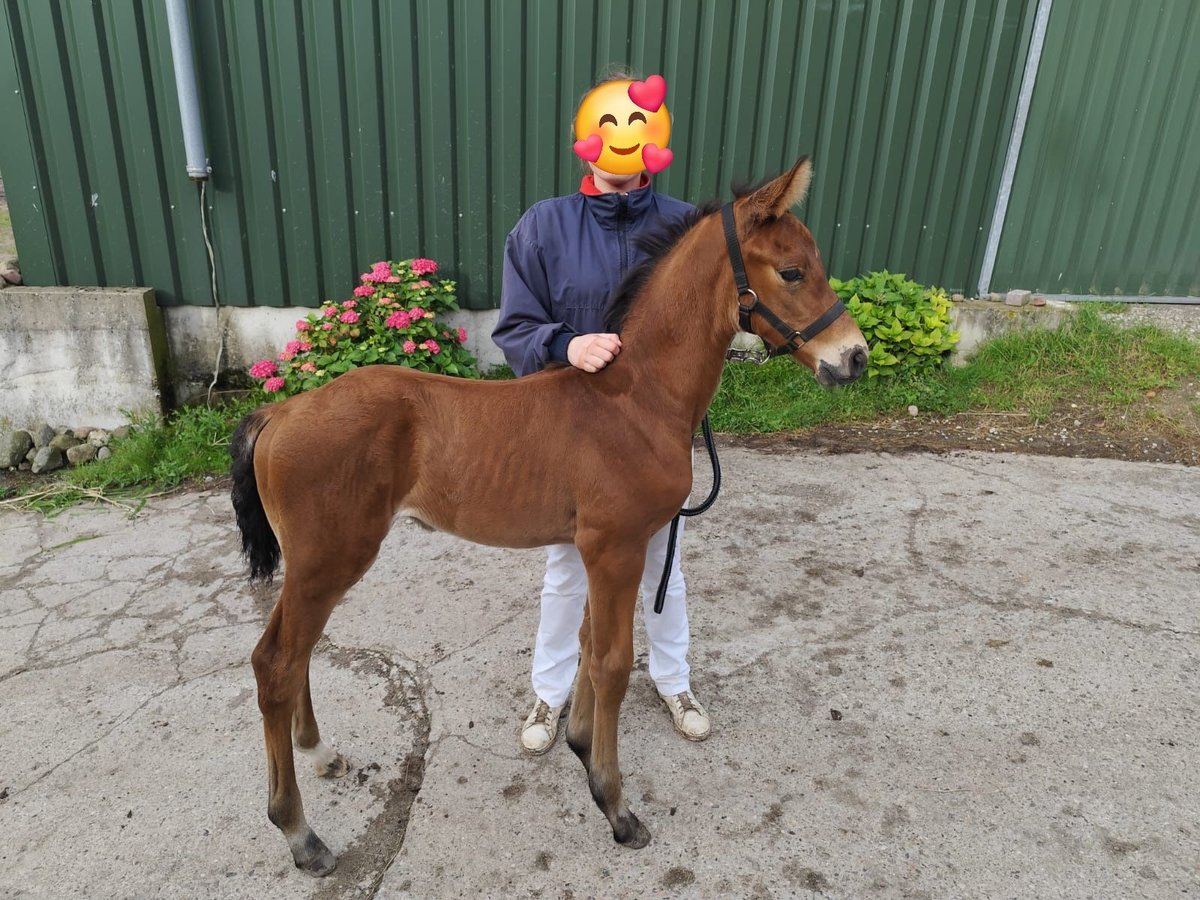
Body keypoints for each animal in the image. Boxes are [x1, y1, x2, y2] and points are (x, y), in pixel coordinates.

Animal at [229, 157, 864, 883]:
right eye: (792, 271)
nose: (855, 357)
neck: (637, 400)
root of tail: (280, 411)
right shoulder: (615, 546)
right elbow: (612, 662)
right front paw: (616, 807)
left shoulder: (606, 546)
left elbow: (589, 646)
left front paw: (583, 748)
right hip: (328, 558)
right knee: (276, 662)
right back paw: (300, 833)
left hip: (317, 563)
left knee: (296, 653)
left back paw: (321, 753)